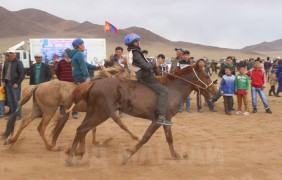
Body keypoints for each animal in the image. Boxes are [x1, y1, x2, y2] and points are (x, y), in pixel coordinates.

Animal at [55, 63, 218, 165]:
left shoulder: (166, 119)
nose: (216, 92)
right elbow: (145, 137)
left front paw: (176, 155)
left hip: (93, 112)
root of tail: (94, 82)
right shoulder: (157, 120)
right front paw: (127, 155)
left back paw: (75, 154)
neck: (172, 90)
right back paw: (74, 156)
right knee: (83, 129)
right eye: (207, 76)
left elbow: (169, 138)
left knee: (82, 129)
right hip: (102, 113)